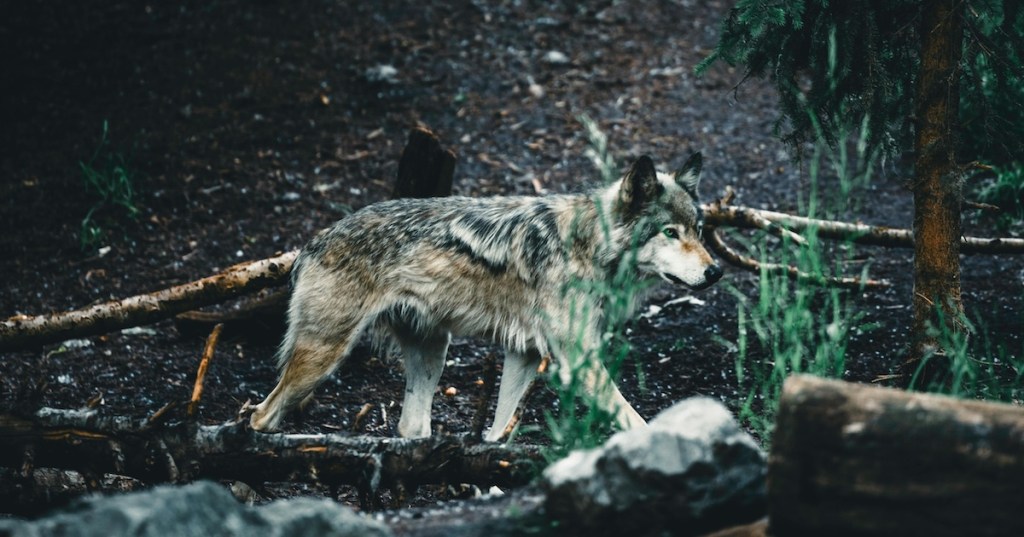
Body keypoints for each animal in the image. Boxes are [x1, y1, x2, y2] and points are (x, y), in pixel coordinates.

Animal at [249, 153, 722, 441]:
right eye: (670, 232)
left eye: (699, 230)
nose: (715, 271)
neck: (586, 244)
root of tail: (311, 243)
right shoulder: (579, 362)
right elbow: (633, 418)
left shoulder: (524, 354)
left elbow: (500, 431)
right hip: (323, 357)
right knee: (260, 414)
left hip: (432, 355)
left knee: (410, 429)